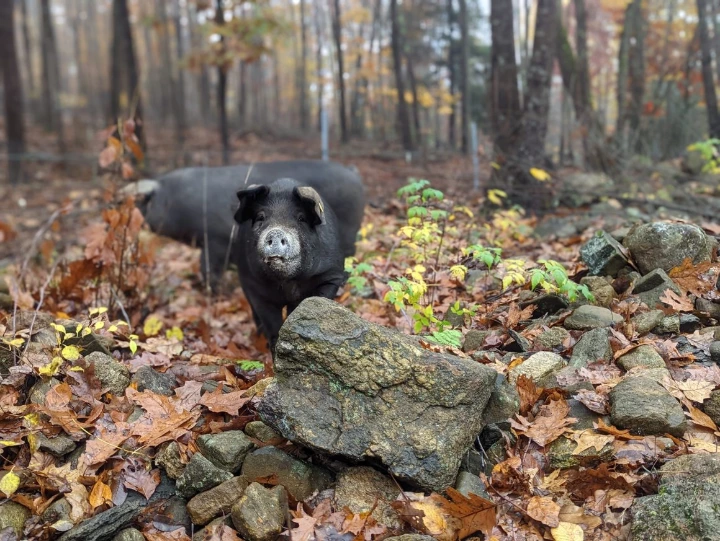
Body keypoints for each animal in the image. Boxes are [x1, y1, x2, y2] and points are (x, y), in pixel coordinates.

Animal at [234, 178, 346, 348]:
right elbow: (271, 325)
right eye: (261, 217)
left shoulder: (332, 275)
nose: (275, 231)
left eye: (301, 218)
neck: (287, 282)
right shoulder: (253, 285)